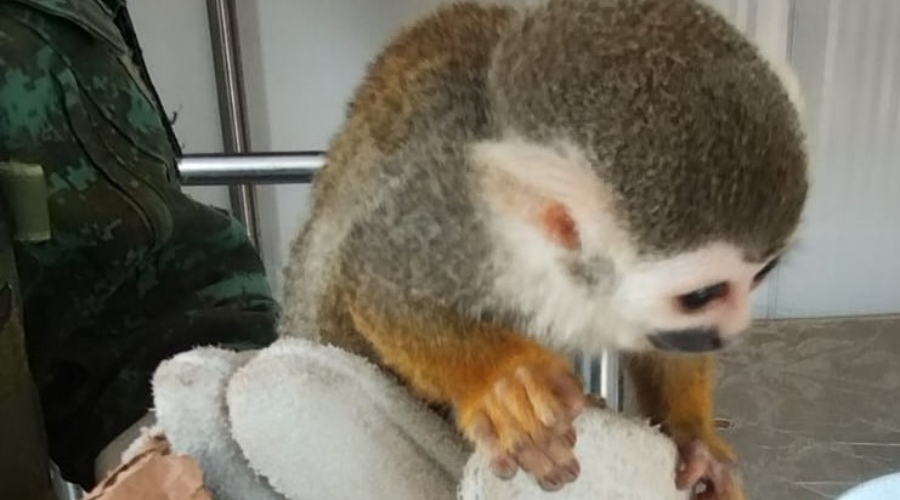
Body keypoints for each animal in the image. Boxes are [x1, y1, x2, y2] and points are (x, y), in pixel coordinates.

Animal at [278, 0, 808, 498]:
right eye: (702, 296)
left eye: (760, 276)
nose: (732, 332)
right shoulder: (455, 219)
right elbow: (377, 282)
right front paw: (504, 380)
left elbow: (665, 346)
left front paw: (695, 441)